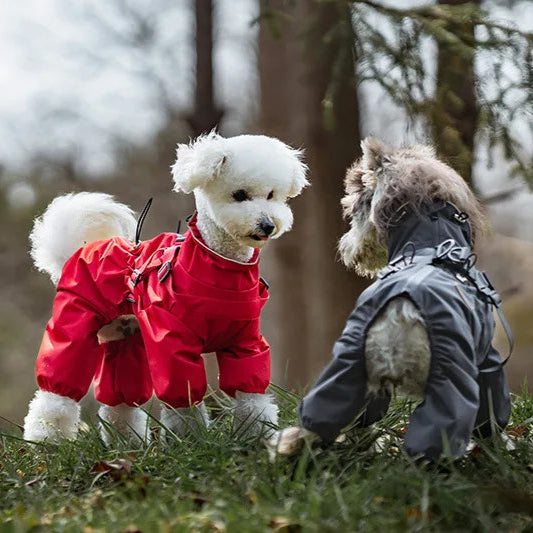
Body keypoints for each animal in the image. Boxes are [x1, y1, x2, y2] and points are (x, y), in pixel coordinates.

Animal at [23, 132, 308, 440]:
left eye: (271, 195)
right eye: (240, 195)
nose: (268, 225)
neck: (219, 266)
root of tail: (75, 253)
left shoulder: (246, 341)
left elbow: (252, 396)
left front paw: (257, 436)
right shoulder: (172, 341)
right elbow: (183, 398)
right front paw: (191, 440)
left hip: (125, 337)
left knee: (120, 399)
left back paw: (128, 441)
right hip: (73, 324)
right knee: (55, 393)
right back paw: (47, 441)